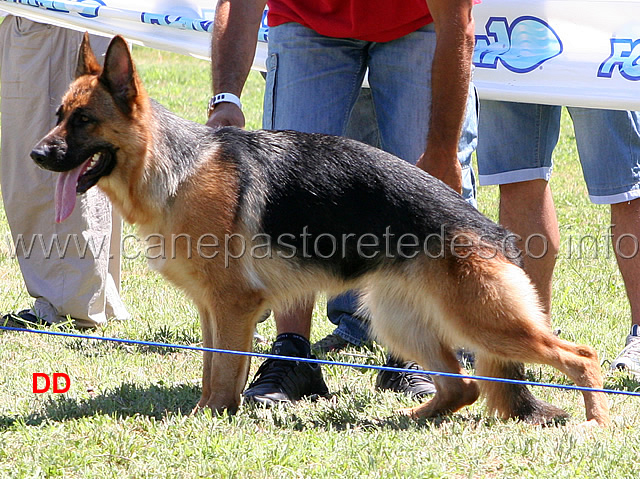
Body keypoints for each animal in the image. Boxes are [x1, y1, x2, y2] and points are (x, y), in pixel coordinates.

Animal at [31, 35, 608, 430]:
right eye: (59, 115)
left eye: (83, 121)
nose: (37, 155)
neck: (174, 170)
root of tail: (492, 231)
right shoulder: (213, 309)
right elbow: (212, 369)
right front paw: (203, 413)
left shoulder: (234, 306)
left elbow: (223, 373)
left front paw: (208, 420)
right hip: (400, 321)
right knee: (463, 385)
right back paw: (409, 419)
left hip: (483, 322)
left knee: (580, 357)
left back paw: (596, 423)